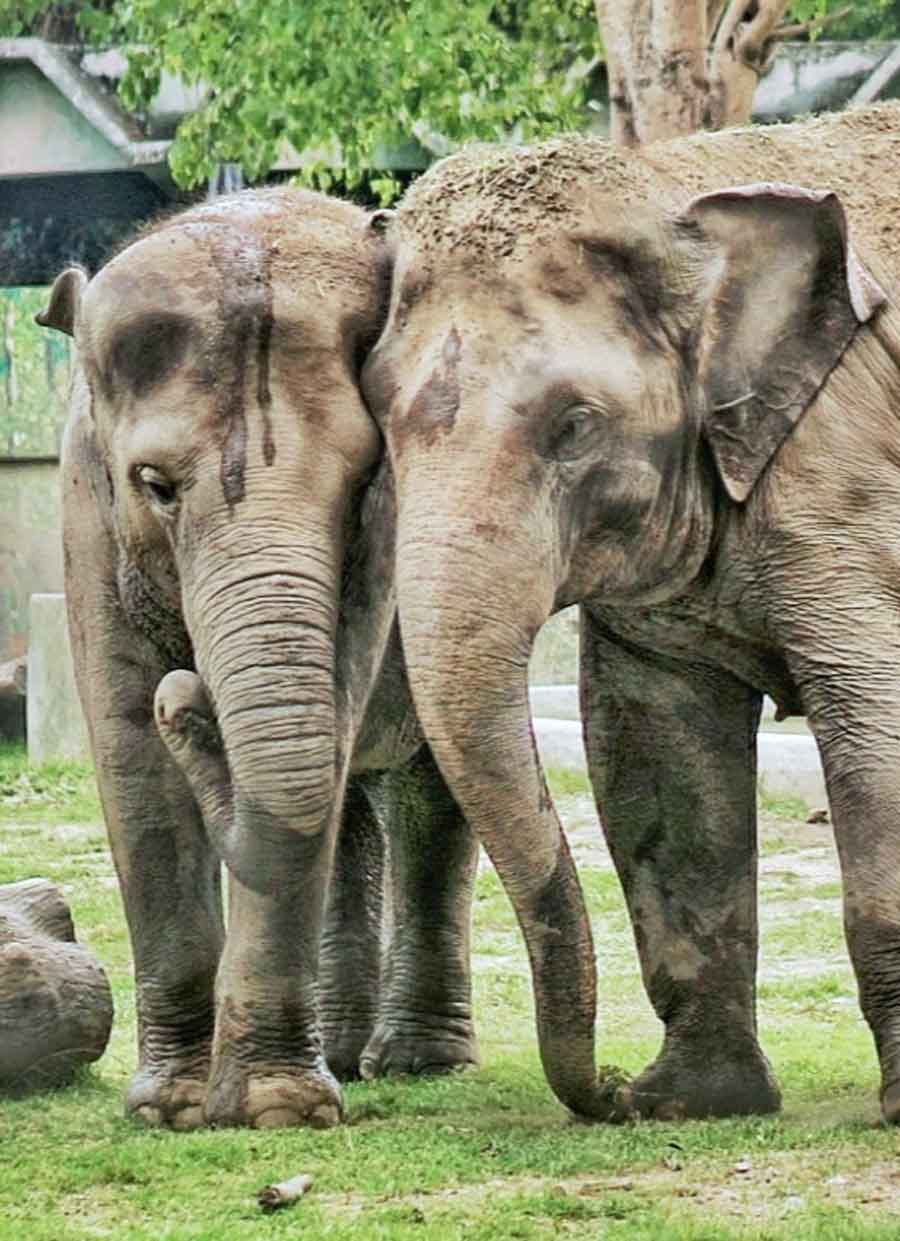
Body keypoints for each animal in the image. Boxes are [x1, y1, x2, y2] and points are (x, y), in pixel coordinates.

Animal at [39, 187, 479, 1130]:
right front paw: (172, 1107)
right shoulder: (83, 512)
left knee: (425, 790)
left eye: (363, 481)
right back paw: (345, 1054)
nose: (188, 696)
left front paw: (274, 1109)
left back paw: (413, 1061)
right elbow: (129, 754)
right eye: (155, 485)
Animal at [362, 102, 900, 1124]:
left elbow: (878, 724)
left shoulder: (850, 476)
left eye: (575, 424)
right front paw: (693, 1102)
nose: (607, 1090)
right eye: (378, 413)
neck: (669, 186)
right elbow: (657, 755)